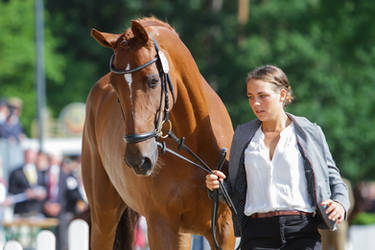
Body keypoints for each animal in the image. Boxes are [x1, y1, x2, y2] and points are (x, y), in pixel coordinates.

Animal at [82, 16, 235, 249]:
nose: (138, 159)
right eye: (115, 87)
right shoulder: (160, 226)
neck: (195, 142)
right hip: (103, 217)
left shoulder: (224, 229)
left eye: (153, 80)